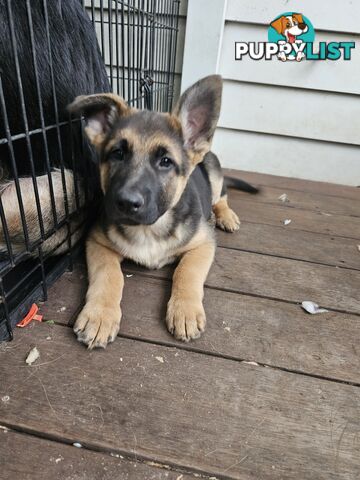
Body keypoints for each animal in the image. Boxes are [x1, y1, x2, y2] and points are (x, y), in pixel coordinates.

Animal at [67, 75, 253, 348]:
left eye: (165, 162)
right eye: (117, 154)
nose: (126, 203)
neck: (150, 228)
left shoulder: (203, 243)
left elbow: (186, 272)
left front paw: (185, 311)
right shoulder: (97, 242)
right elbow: (109, 275)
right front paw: (99, 315)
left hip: (213, 170)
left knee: (222, 196)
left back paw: (226, 216)